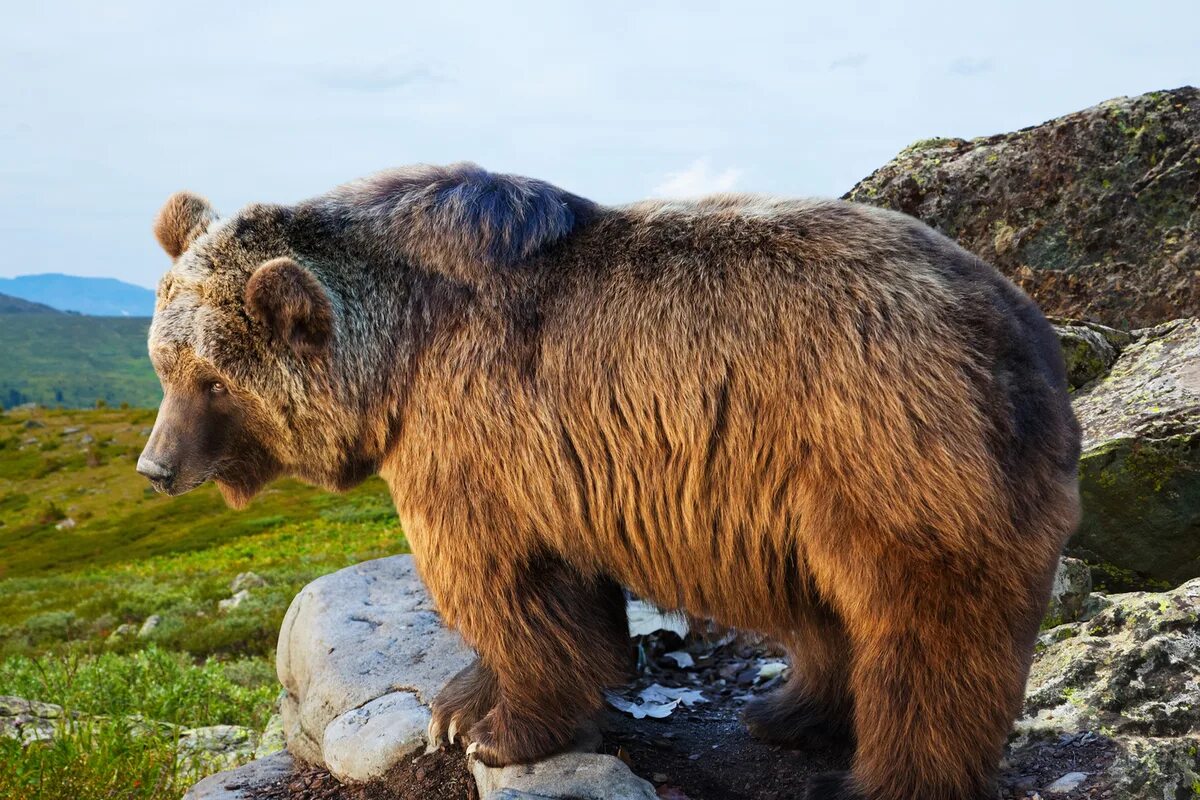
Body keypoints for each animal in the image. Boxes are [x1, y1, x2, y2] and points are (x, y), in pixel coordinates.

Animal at [138, 164, 1080, 800]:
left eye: (214, 381)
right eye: (166, 362)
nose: (155, 467)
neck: (397, 351)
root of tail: (1027, 332)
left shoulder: (471, 439)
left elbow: (503, 585)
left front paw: (498, 733)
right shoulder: (553, 463)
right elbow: (554, 593)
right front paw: (458, 706)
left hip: (887, 452)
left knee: (923, 634)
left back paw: (884, 773)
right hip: (809, 494)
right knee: (831, 612)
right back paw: (784, 710)